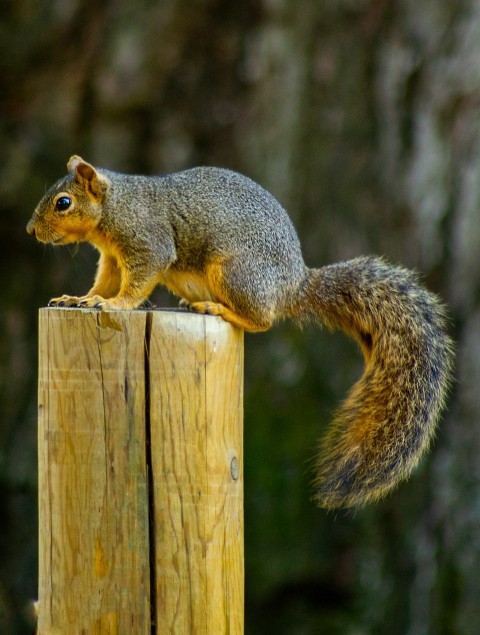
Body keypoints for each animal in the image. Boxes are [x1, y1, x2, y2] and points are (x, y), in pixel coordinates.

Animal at [27, 157, 454, 510]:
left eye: (63, 203)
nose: (30, 230)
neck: (116, 205)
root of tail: (293, 286)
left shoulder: (147, 243)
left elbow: (137, 283)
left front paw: (115, 305)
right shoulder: (113, 258)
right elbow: (103, 282)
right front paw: (80, 299)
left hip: (236, 271)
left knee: (262, 320)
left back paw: (218, 309)